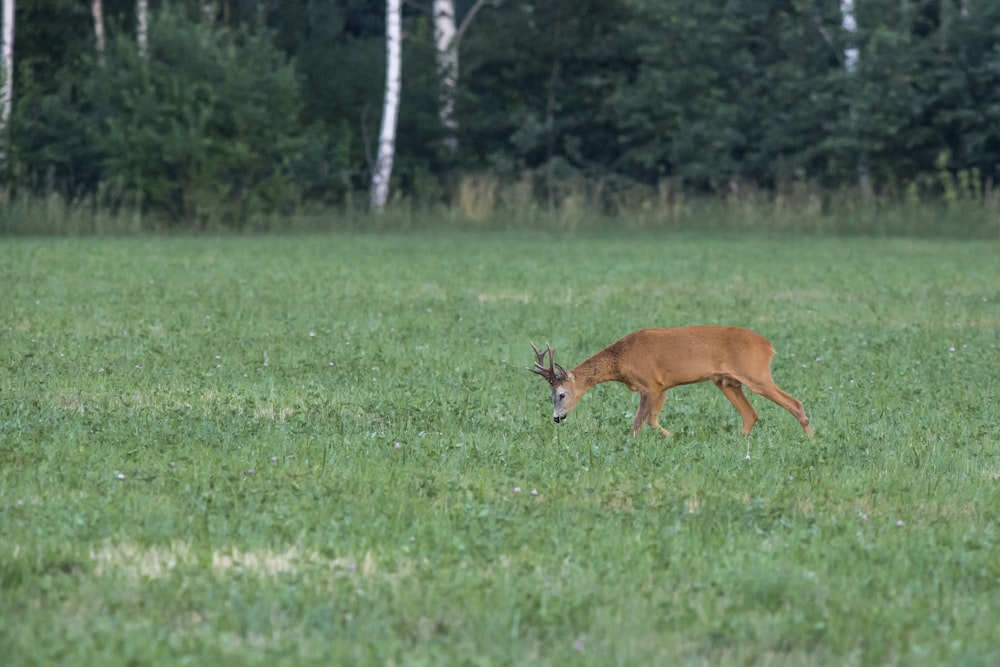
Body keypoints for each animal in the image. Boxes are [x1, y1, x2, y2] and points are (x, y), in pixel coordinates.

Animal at [532, 328, 812, 440]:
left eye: (561, 394)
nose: (557, 418)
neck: (621, 360)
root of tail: (768, 346)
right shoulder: (663, 386)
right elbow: (652, 419)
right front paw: (673, 437)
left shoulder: (650, 384)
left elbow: (639, 422)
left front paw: (633, 444)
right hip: (726, 382)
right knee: (750, 415)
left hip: (755, 374)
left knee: (795, 402)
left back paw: (811, 439)